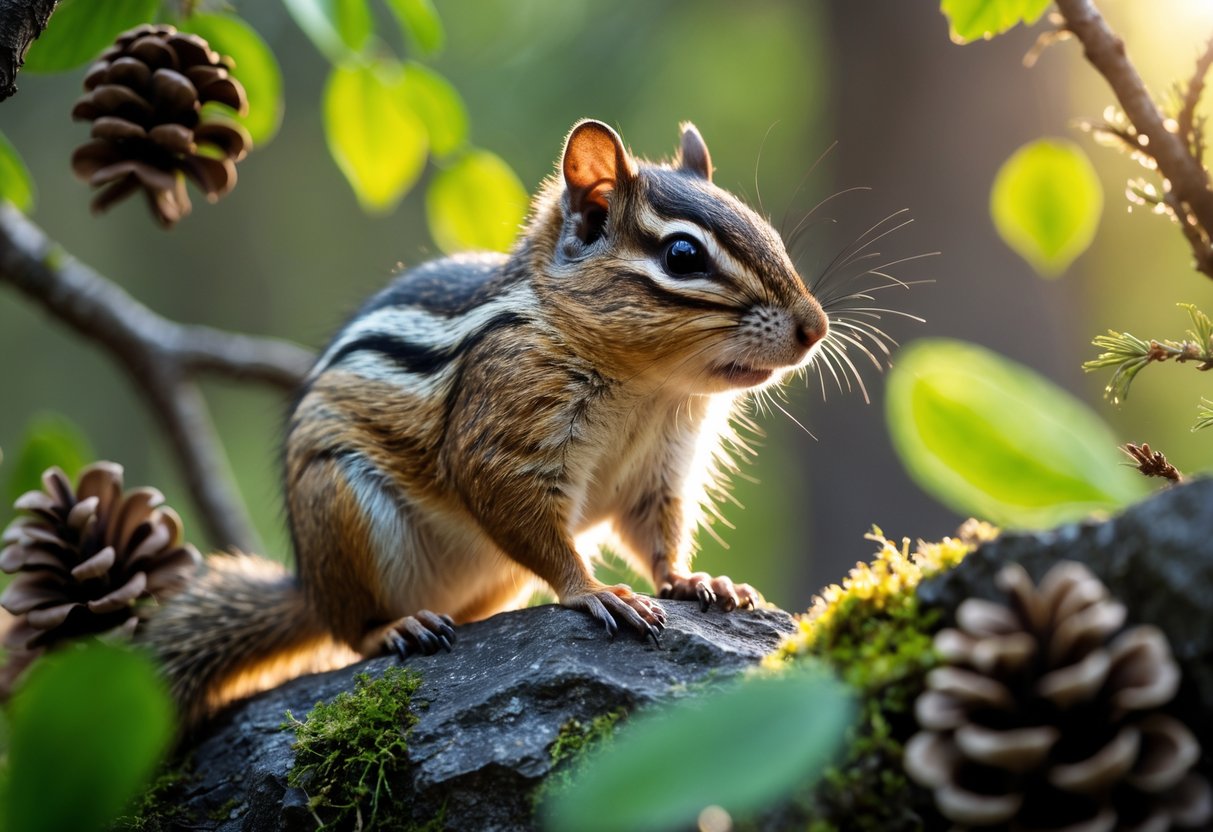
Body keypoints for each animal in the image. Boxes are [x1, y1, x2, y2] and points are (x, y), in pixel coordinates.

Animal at [139, 119, 829, 728]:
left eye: (768, 232)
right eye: (683, 255)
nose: (815, 327)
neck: (650, 387)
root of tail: (308, 586)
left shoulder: (660, 467)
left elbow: (656, 531)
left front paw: (691, 579)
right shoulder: (504, 427)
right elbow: (520, 513)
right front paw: (594, 591)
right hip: (339, 508)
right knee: (350, 631)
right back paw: (398, 626)